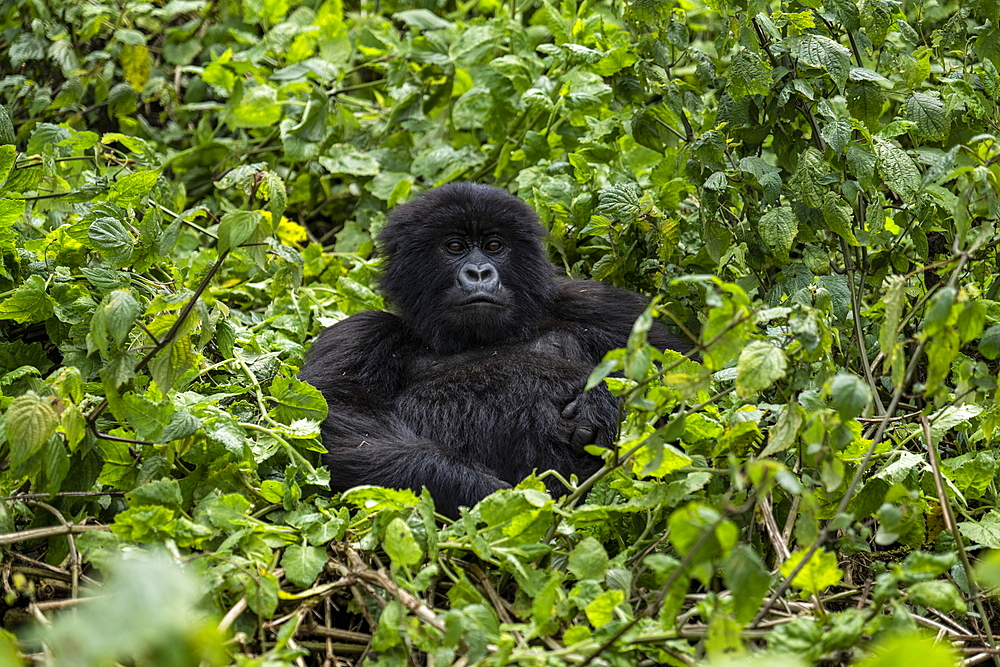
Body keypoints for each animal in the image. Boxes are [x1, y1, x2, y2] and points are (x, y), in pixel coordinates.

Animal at [296, 184, 688, 520]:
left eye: (495, 246)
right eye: (454, 247)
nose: (480, 272)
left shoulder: (598, 305)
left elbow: (685, 375)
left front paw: (601, 400)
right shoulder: (361, 333)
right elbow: (335, 417)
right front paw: (486, 494)